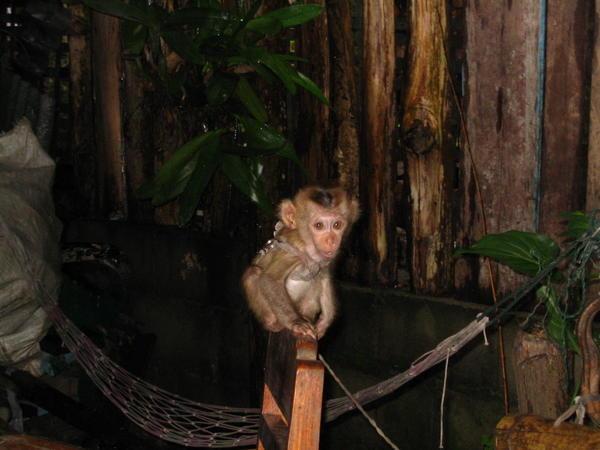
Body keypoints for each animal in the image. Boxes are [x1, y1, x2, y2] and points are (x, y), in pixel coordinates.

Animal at [241, 187, 358, 342]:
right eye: (319, 226)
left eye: (337, 225)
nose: (331, 241)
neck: (308, 245)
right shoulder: (292, 252)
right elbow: (270, 279)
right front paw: (295, 323)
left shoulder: (326, 258)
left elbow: (324, 275)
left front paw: (324, 322)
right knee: (254, 273)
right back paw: (273, 323)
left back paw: (305, 316)